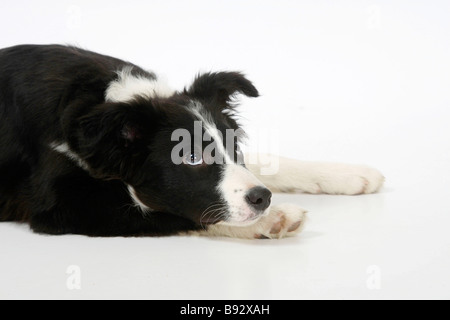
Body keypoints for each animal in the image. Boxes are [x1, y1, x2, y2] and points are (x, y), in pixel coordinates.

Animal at [0, 45, 384, 240]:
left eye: (234, 145)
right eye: (192, 159)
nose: (263, 198)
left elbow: (269, 162)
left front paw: (348, 174)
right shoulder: (60, 206)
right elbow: (171, 211)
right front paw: (274, 218)